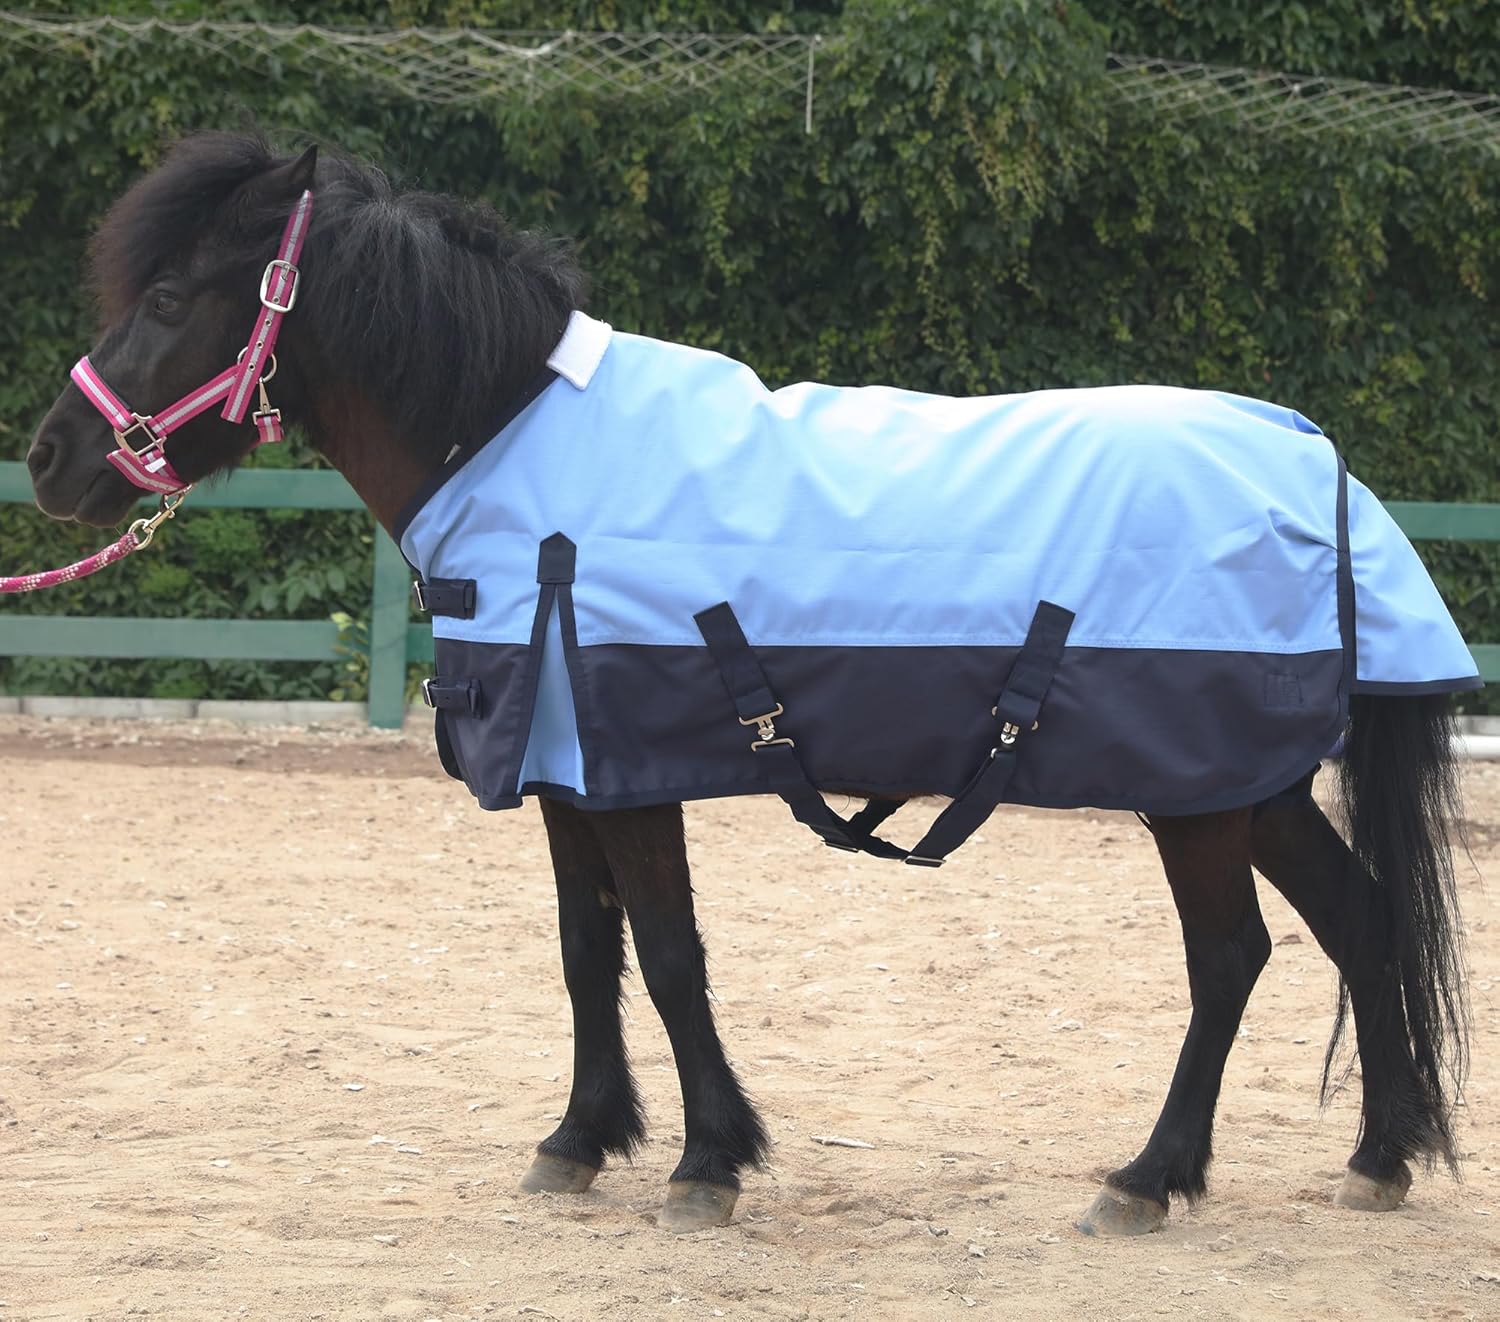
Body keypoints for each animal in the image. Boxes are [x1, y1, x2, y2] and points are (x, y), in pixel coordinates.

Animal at [26, 132, 1473, 1236]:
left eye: (170, 300)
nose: (50, 458)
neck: (516, 442)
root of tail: (1317, 461)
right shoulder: (566, 769)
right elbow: (587, 954)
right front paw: (579, 1139)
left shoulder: (626, 771)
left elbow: (670, 957)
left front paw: (708, 1160)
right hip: (1254, 783)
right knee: (1361, 919)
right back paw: (1379, 1158)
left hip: (1199, 795)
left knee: (1231, 956)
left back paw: (1149, 1177)